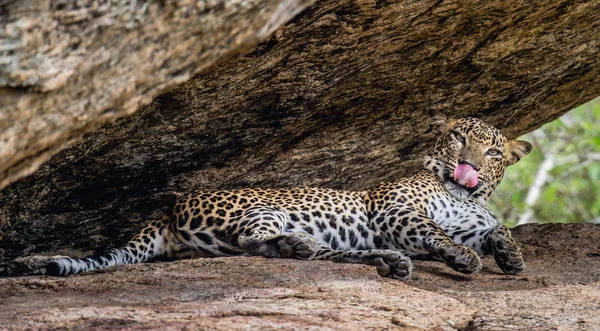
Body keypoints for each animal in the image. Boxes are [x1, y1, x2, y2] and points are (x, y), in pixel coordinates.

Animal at [48, 116, 536, 280]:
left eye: (493, 153)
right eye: (458, 138)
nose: (469, 167)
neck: (465, 198)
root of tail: (166, 209)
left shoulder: (470, 222)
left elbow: (496, 229)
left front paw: (510, 256)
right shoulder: (393, 208)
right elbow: (435, 229)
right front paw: (463, 258)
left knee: (308, 253)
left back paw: (383, 260)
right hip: (263, 208)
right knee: (253, 242)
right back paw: (306, 244)